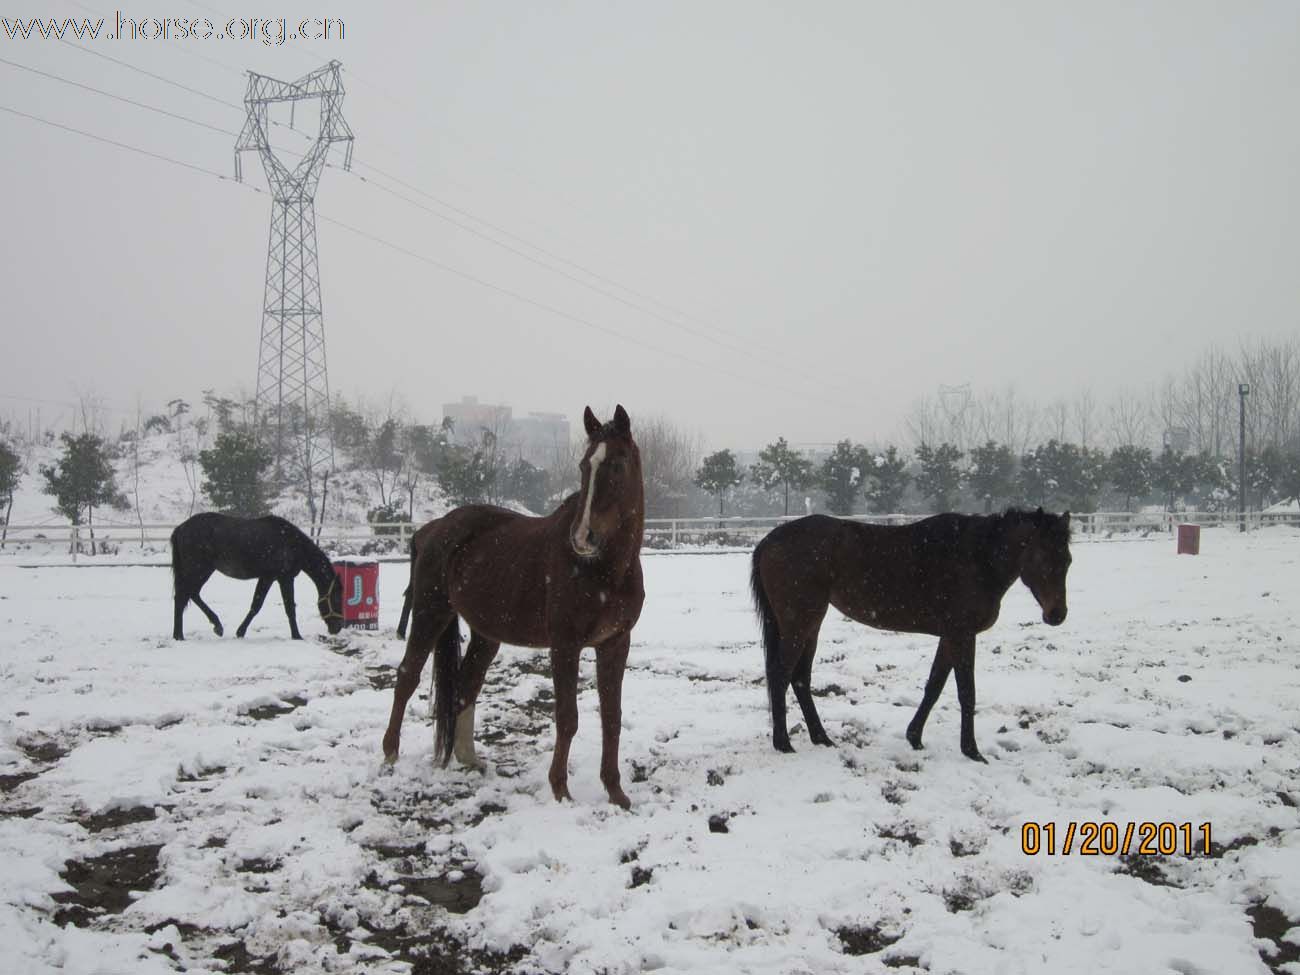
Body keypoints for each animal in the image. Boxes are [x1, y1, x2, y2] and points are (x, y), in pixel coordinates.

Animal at [171, 514, 345, 644]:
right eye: (337, 599)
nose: (338, 627)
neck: (291, 543)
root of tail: (180, 528)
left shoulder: (268, 578)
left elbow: (256, 605)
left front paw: (240, 632)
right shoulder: (284, 578)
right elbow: (288, 607)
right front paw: (297, 636)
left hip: (201, 571)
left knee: (191, 594)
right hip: (199, 569)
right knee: (183, 596)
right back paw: (185, 634)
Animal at [384, 405, 650, 811]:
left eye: (617, 465)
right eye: (583, 466)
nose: (581, 537)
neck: (605, 569)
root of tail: (430, 529)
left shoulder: (615, 644)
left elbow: (612, 717)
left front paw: (616, 792)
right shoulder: (565, 645)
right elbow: (567, 717)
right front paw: (560, 790)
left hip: (485, 634)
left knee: (465, 685)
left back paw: (469, 759)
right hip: (431, 613)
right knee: (407, 676)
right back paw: (390, 755)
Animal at [748, 506, 1071, 769]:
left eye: (1067, 560)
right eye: (1040, 556)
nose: (1057, 614)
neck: (977, 557)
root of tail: (769, 541)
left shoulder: (949, 636)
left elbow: (934, 686)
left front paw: (914, 737)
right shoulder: (962, 635)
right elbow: (966, 692)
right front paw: (972, 751)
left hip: (810, 625)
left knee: (800, 678)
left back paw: (821, 738)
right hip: (800, 624)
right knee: (781, 675)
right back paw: (783, 743)